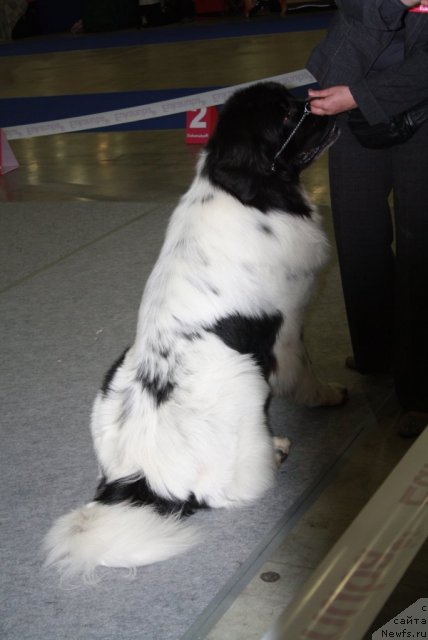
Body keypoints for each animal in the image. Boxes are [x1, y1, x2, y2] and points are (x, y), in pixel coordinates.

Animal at [44, 81, 344, 580]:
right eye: (286, 113)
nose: (323, 98)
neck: (250, 191)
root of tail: (135, 480)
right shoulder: (287, 327)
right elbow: (303, 372)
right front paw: (328, 395)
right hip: (245, 381)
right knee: (228, 491)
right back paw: (277, 449)